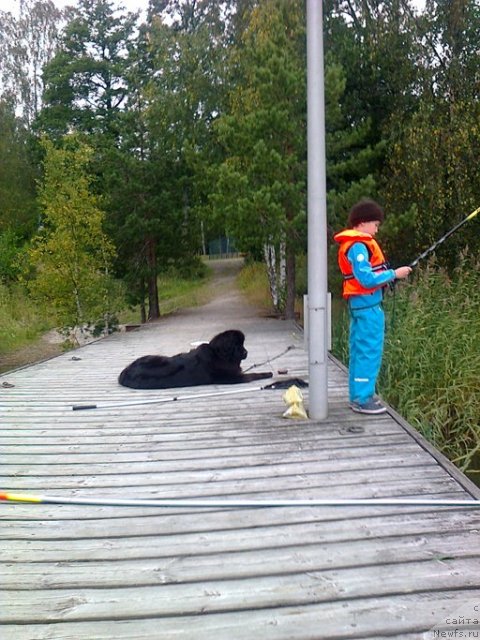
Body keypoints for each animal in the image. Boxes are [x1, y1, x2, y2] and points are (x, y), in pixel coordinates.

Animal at [118, 330, 272, 390]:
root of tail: (123, 373)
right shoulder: (233, 377)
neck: (219, 355)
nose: (246, 352)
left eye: (242, 344)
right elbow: (253, 375)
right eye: (237, 345)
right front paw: (267, 374)